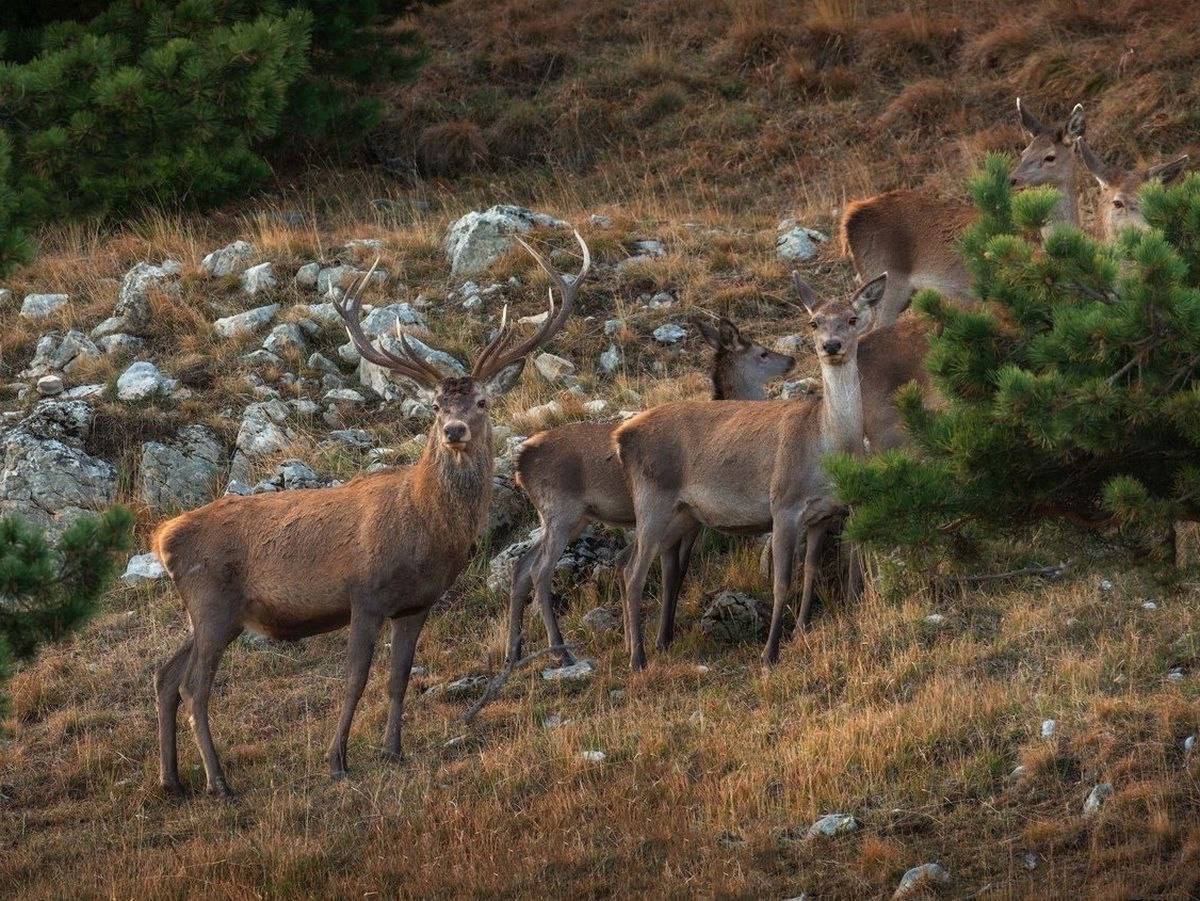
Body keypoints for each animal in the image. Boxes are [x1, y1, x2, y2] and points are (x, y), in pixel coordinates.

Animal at [150, 232, 590, 796]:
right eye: (435, 407)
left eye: (484, 402)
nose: (454, 431)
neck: (424, 527)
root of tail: (163, 538)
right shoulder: (363, 593)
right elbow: (356, 678)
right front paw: (336, 760)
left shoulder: (416, 603)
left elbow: (399, 677)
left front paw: (393, 750)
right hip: (213, 602)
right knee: (194, 686)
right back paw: (218, 781)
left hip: (206, 611)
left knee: (166, 675)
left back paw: (171, 780)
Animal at [506, 314, 796, 662]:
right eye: (762, 353)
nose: (791, 359)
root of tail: (520, 464)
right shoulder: (686, 520)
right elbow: (671, 574)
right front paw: (660, 638)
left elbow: (667, 572)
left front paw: (648, 638)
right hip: (562, 511)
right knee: (541, 570)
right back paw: (561, 652)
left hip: (565, 519)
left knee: (522, 565)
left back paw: (514, 652)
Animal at [614, 274, 931, 671]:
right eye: (814, 322)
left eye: (852, 319)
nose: (831, 345)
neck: (826, 445)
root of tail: (621, 438)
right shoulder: (784, 504)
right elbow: (781, 582)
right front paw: (770, 652)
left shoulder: (824, 513)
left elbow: (810, 571)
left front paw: (802, 628)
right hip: (653, 500)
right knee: (633, 573)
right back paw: (638, 657)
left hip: (679, 514)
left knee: (634, 566)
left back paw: (647, 643)